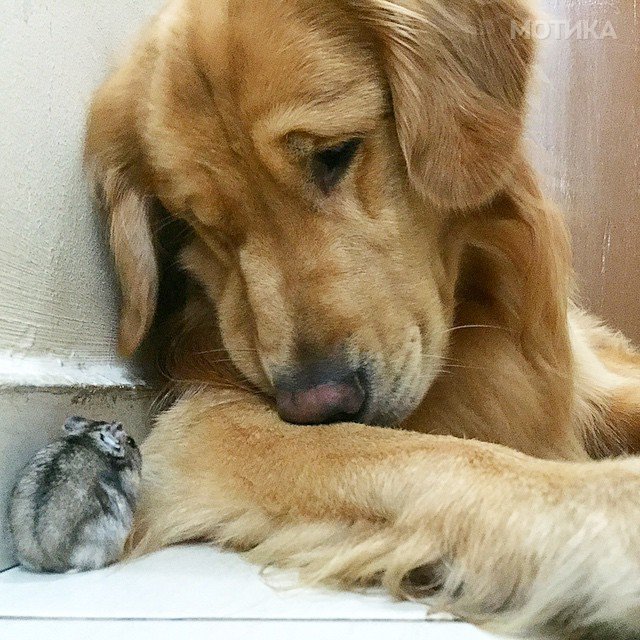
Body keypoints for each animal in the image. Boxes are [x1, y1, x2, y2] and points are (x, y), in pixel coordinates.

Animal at [85, 1, 640, 636]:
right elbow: (443, 455)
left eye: (334, 155)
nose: (318, 404)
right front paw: (619, 506)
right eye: (200, 225)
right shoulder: (208, 427)